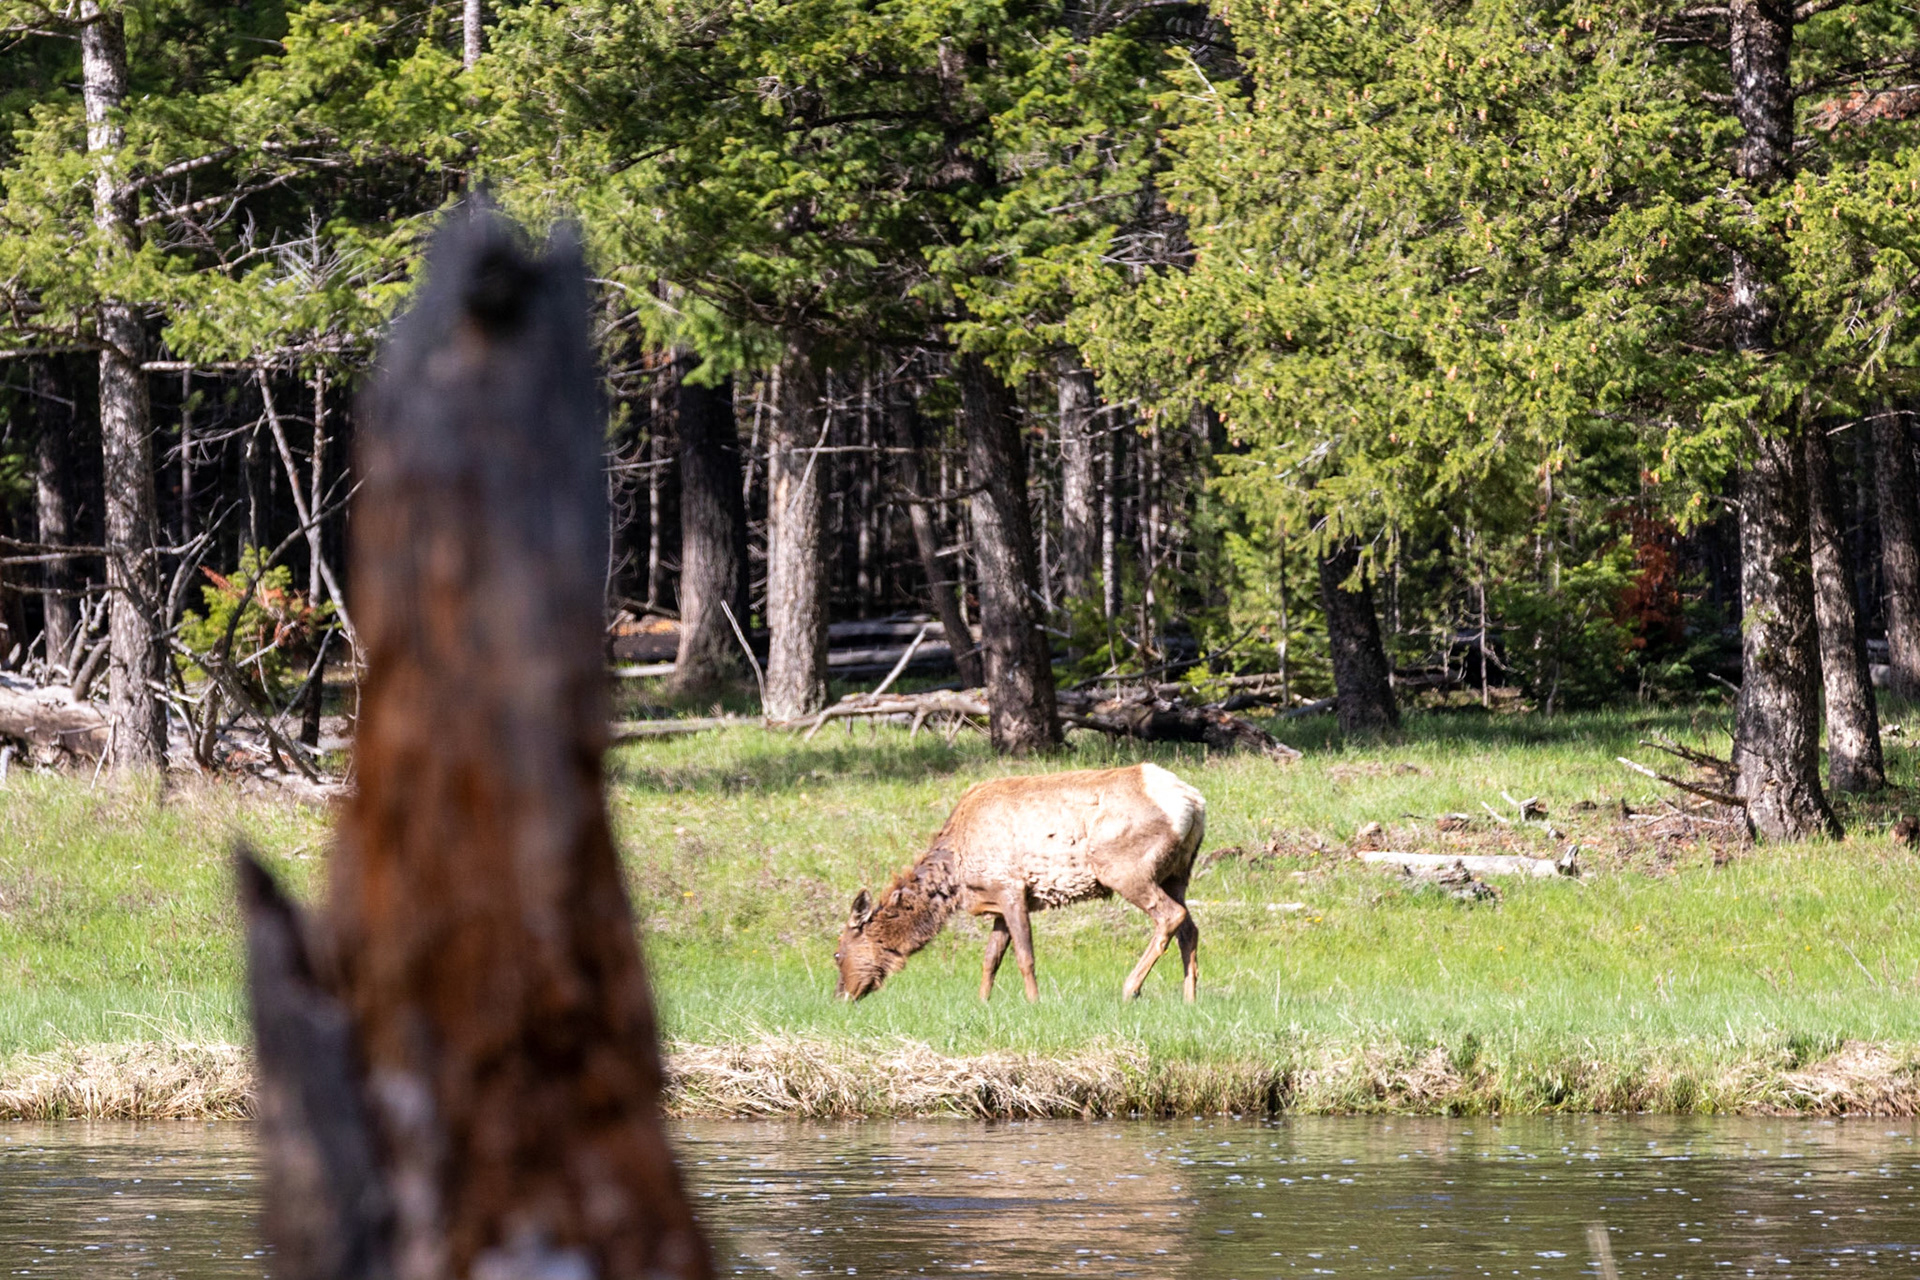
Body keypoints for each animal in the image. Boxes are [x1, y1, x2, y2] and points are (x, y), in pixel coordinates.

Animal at [833, 762, 1206, 1004]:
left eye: (837, 953)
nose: (841, 996)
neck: (955, 877)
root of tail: (1195, 802)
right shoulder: (997, 902)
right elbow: (990, 959)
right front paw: (982, 1003)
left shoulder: (1010, 887)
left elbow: (1025, 956)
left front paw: (1034, 1003)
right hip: (1177, 873)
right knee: (1190, 926)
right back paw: (1189, 998)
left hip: (1123, 867)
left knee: (1170, 917)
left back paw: (1130, 988)